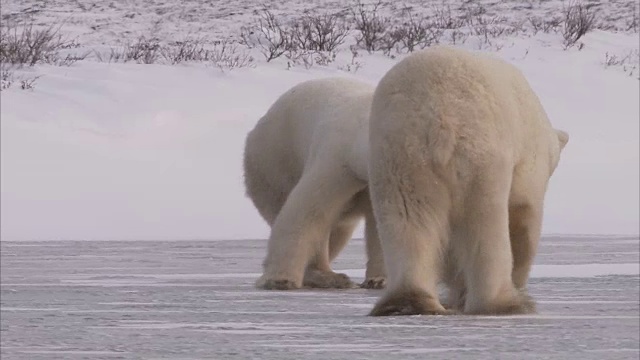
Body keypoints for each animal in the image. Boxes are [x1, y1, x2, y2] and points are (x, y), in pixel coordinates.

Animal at [244, 76, 384, 290]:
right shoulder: (337, 158)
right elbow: (305, 211)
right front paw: (280, 279)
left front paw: (379, 279)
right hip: (274, 164)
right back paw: (329, 276)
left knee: (338, 231)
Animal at [368, 46, 568, 316]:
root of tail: (438, 117)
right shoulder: (527, 165)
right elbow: (524, 218)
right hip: (480, 157)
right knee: (486, 222)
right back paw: (503, 302)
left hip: (399, 158)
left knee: (407, 220)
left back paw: (407, 302)